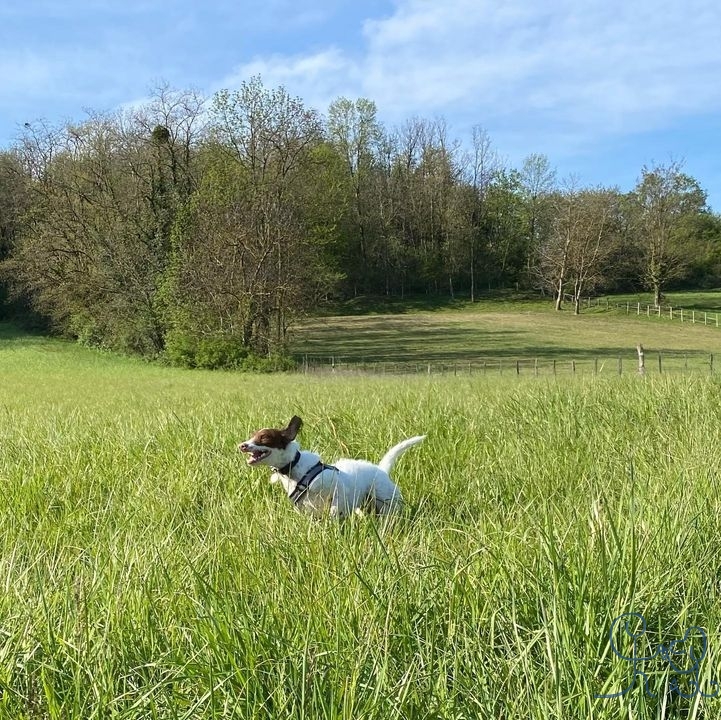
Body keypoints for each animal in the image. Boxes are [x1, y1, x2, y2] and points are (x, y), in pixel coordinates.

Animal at [239, 416, 424, 516]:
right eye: (252, 435)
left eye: (264, 437)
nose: (242, 445)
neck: (296, 470)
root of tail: (381, 470)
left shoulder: (337, 489)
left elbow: (334, 509)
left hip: (387, 504)